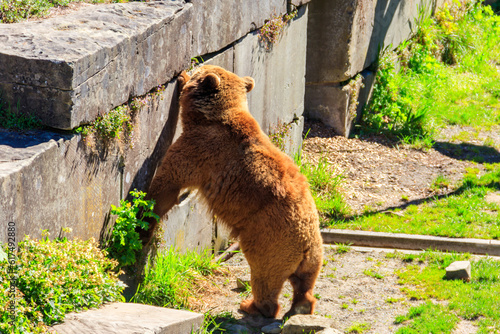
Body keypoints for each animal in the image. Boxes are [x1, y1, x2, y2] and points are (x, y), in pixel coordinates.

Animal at [146, 64, 322, 318]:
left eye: (200, 69)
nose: (191, 68)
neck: (211, 117)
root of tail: (307, 244)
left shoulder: (200, 149)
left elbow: (168, 182)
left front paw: (145, 215)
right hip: (312, 256)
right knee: (305, 282)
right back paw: (302, 305)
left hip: (269, 240)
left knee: (264, 277)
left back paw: (252, 306)